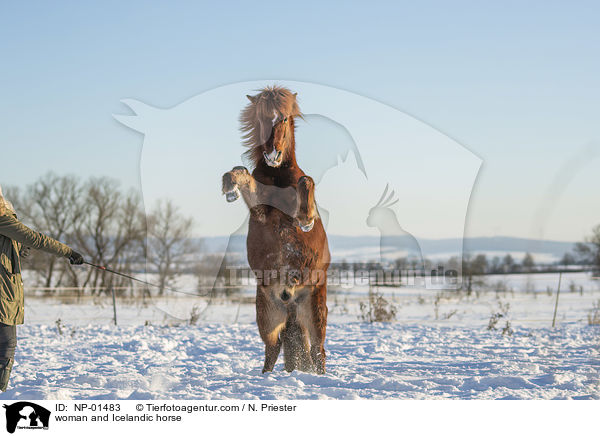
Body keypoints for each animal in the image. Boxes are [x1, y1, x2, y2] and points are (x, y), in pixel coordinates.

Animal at [223, 87, 330, 372]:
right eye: (261, 117)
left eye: (283, 118)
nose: (272, 156)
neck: (277, 176)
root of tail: (289, 298)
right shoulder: (260, 209)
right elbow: (238, 171)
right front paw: (229, 188)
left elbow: (306, 181)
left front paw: (307, 219)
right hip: (268, 315)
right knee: (273, 347)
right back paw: (265, 378)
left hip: (314, 311)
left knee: (318, 351)